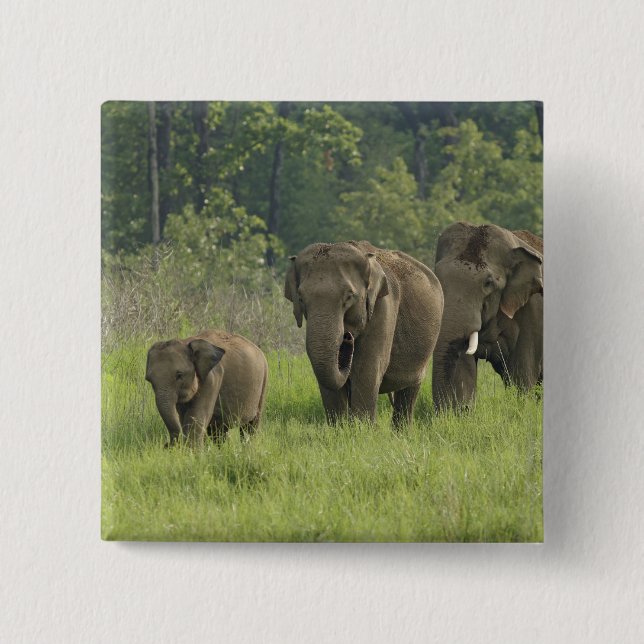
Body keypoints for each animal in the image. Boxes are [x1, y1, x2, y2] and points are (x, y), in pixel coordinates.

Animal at [285, 240, 444, 426]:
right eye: (301, 298)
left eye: (349, 296)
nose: (347, 338)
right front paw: (340, 428)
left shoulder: (384, 307)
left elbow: (366, 370)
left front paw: (363, 428)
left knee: (409, 390)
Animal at [431, 222, 543, 411]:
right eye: (437, 276)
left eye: (488, 283)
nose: (445, 410)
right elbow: (464, 365)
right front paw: (461, 412)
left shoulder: (531, 308)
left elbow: (522, 372)